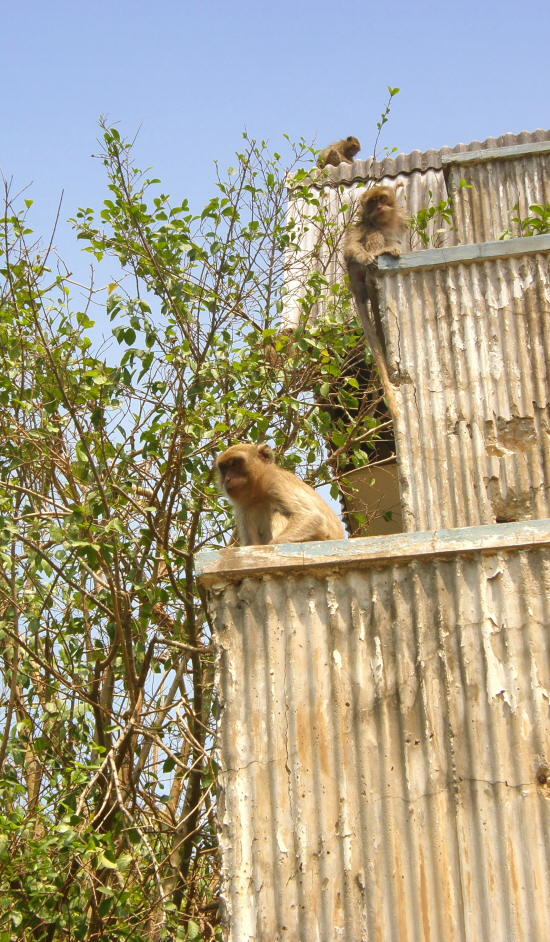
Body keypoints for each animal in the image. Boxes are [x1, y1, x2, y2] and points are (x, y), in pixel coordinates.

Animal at [216, 442, 344, 544]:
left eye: (235, 464)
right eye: (224, 468)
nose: (228, 479)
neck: (258, 494)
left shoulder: (276, 482)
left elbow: (311, 517)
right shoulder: (243, 508)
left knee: (279, 513)